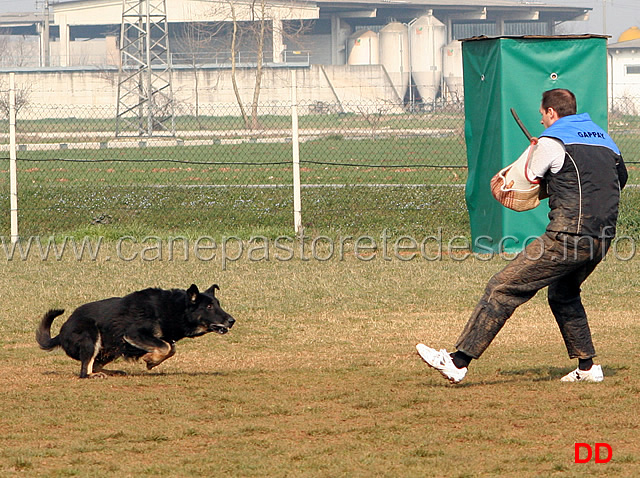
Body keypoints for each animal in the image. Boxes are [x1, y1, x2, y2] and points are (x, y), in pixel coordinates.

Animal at [35, 284, 235, 378]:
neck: (171, 308)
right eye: (209, 306)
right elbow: (165, 346)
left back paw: (113, 372)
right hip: (91, 337)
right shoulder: (133, 334)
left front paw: (152, 360)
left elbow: (170, 348)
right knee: (85, 371)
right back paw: (95, 375)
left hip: (110, 349)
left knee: (96, 364)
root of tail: (61, 332)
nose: (232, 321)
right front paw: (150, 359)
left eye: (217, 304)